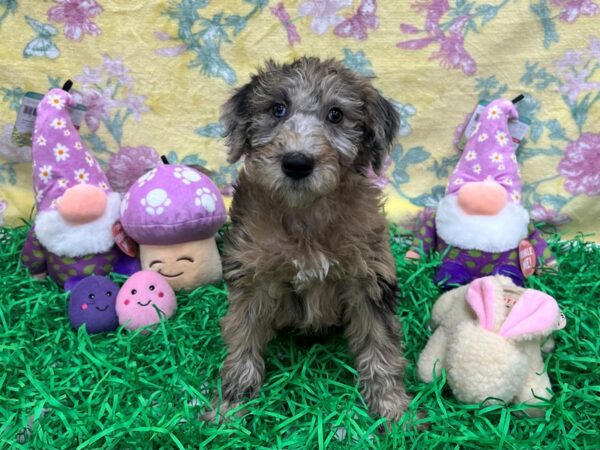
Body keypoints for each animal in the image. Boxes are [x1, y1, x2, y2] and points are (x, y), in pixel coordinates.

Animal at [217, 56, 412, 422]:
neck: (305, 214)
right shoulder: (253, 276)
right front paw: (231, 403)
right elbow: (243, 334)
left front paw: (392, 408)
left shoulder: (369, 279)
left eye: (336, 115)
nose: (296, 163)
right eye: (277, 109)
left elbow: (380, 343)